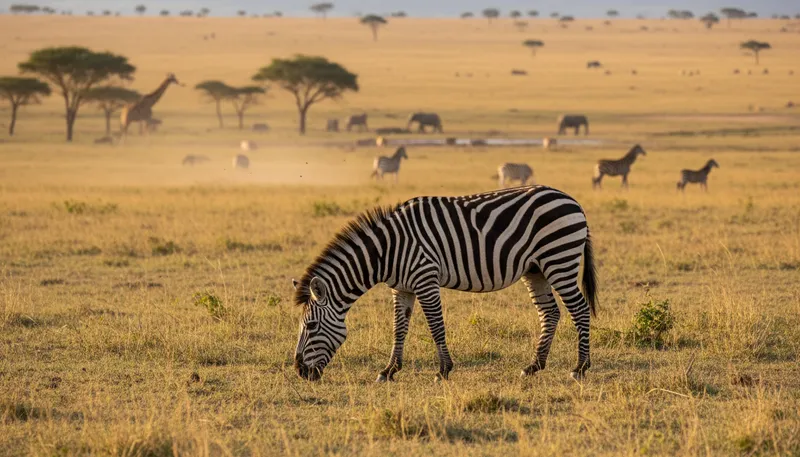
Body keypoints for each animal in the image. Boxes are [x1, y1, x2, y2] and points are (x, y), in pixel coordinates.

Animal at [292, 186, 598, 383]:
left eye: (311, 326)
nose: (299, 372)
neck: (386, 251)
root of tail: (573, 201)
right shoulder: (401, 288)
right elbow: (398, 329)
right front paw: (389, 371)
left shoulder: (425, 279)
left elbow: (435, 325)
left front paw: (443, 370)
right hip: (536, 269)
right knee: (550, 313)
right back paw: (534, 366)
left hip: (559, 259)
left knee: (580, 310)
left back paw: (580, 368)